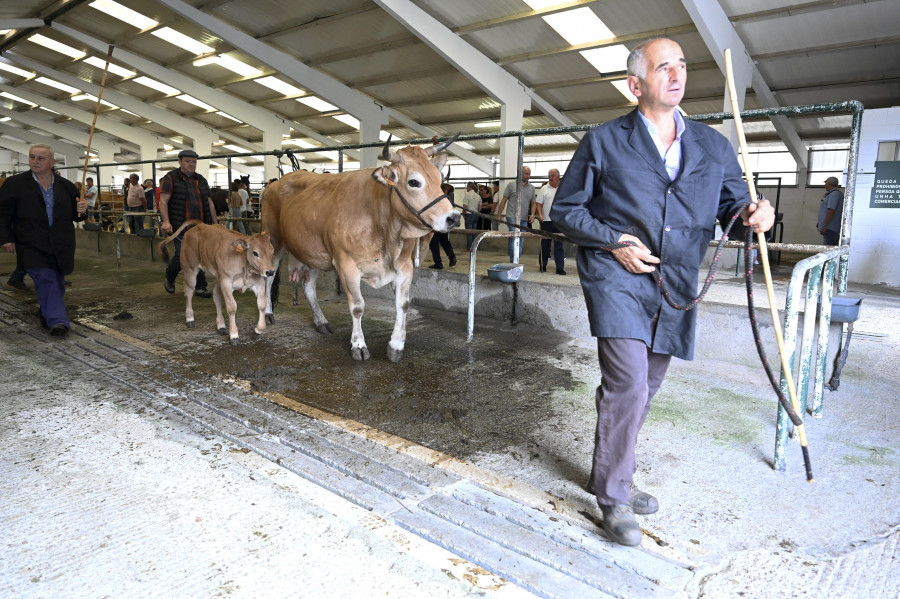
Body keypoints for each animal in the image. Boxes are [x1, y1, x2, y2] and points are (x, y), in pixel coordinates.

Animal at [258, 135, 458, 360]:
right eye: (414, 182)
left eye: (439, 179)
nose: (454, 218)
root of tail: (278, 181)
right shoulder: (346, 265)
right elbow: (357, 307)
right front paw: (358, 344)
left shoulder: (405, 266)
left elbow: (403, 304)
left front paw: (396, 345)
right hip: (273, 240)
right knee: (269, 277)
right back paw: (268, 313)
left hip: (314, 252)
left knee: (308, 287)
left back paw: (321, 322)